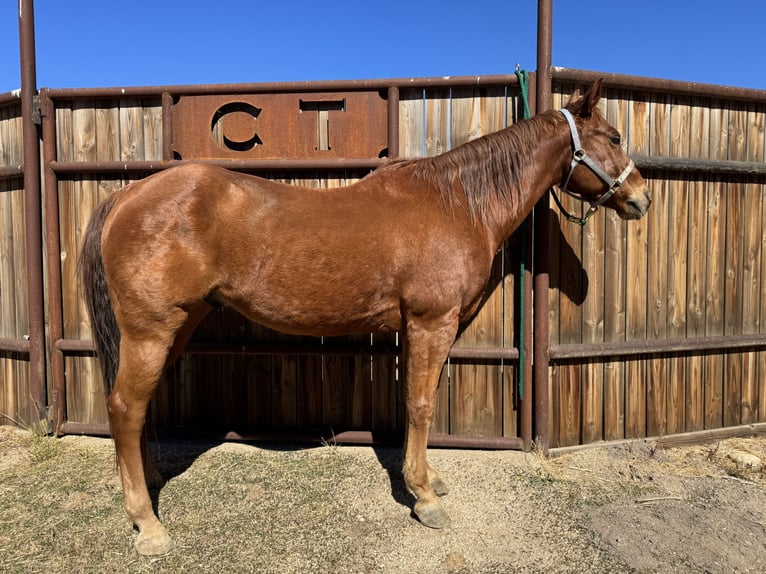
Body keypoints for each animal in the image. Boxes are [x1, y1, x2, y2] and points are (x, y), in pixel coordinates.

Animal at [79, 78, 651, 555]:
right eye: (615, 135)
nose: (641, 198)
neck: (457, 203)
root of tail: (128, 195)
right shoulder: (430, 323)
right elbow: (420, 405)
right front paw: (424, 498)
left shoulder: (417, 329)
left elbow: (417, 402)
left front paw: (429, 480)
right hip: (150, 331)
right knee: (125, 408)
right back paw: (149, 525)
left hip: (177, 326)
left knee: (137, 408)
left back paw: (150, 484)